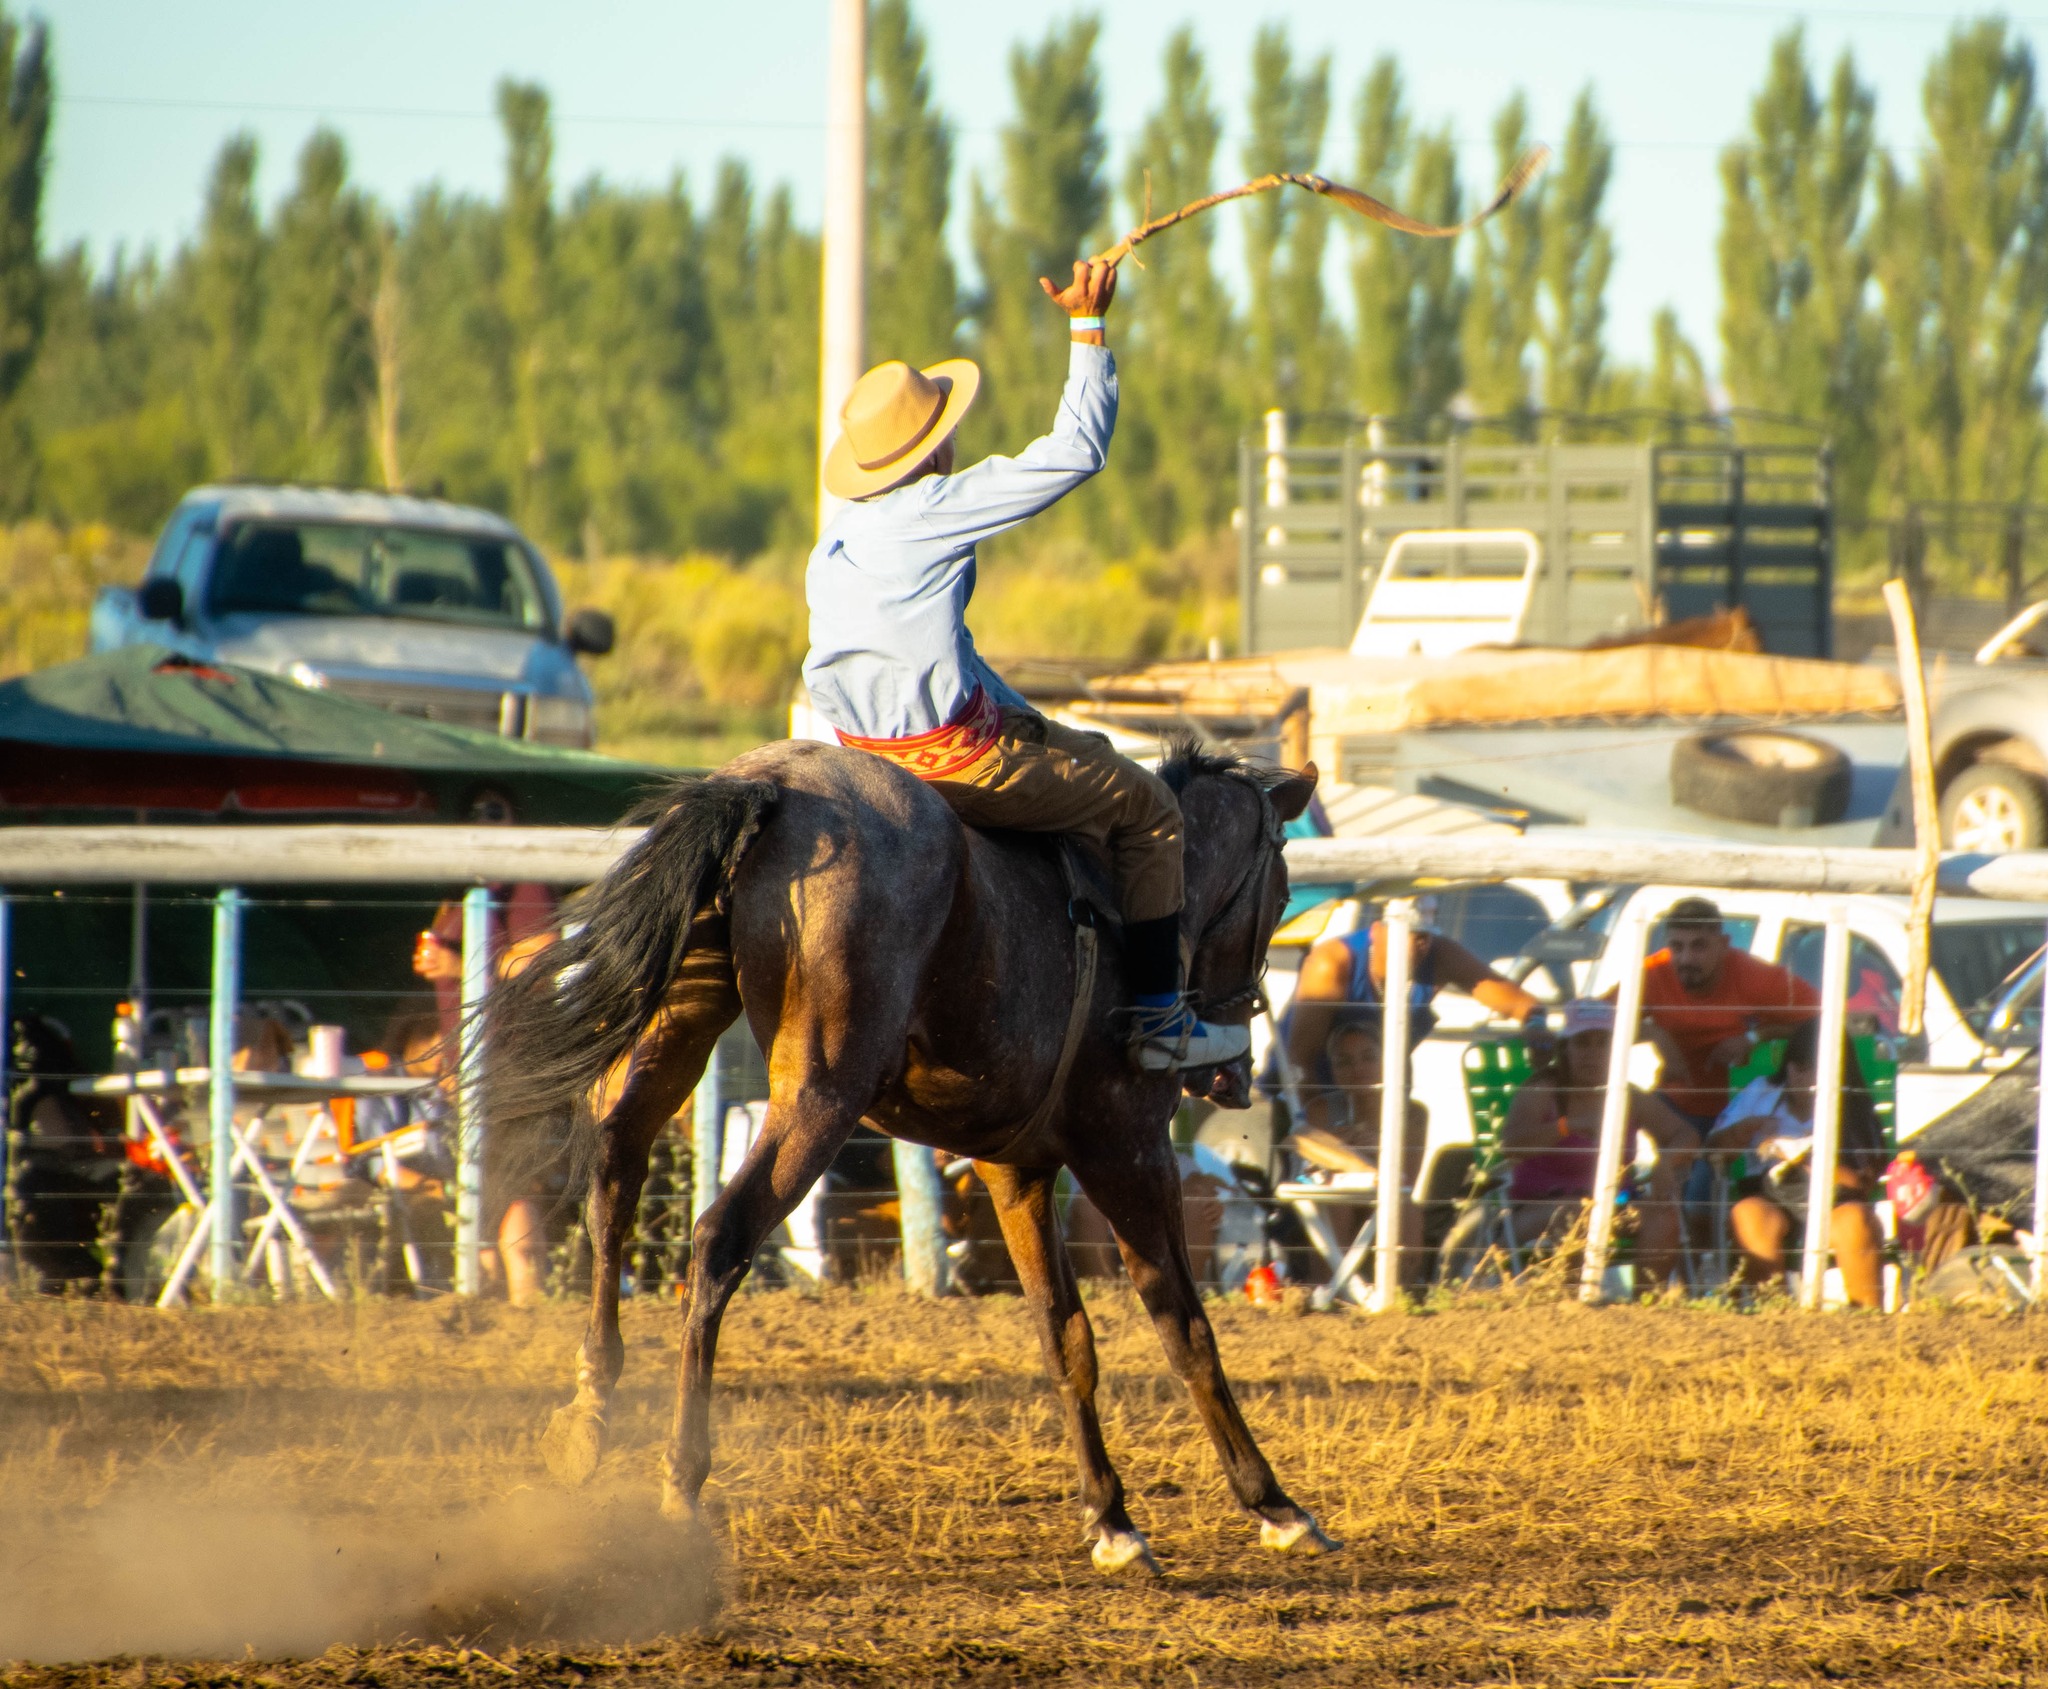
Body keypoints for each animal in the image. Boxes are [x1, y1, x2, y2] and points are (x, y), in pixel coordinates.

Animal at [487, 732, 1335, 1572]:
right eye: (1281, 893)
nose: (1231, 1068)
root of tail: (772, 786)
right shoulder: (1127, 1150)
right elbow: (1184, 1327)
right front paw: (1274, 1502)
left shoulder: (1017, 1172)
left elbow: (1064, 1336)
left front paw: (1111, 1517)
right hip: (820, 1092)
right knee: (719, 1237)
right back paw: (681, 1479)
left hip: (678, 1029)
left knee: (613, 1178)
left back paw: (588, 1413)